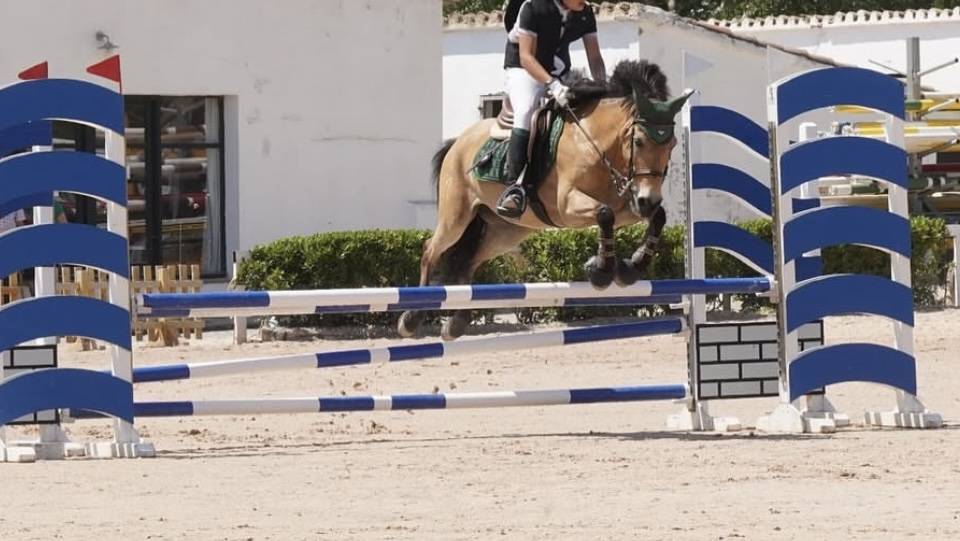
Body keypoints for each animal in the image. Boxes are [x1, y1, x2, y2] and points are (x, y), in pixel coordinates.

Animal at [399, 60, 691, 341]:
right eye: (639, 141)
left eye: (673, 144)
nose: (648, 200)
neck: (595, 141)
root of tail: (458, 142)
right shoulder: (569, 206)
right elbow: (604, 213)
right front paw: (602, 270)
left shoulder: (627, 205)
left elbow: (654, 216)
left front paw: (630, 265)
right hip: (456, 217)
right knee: (430, 249)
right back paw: (412, 318)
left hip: (504, 231)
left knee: (468, 261)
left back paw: (456, 324)